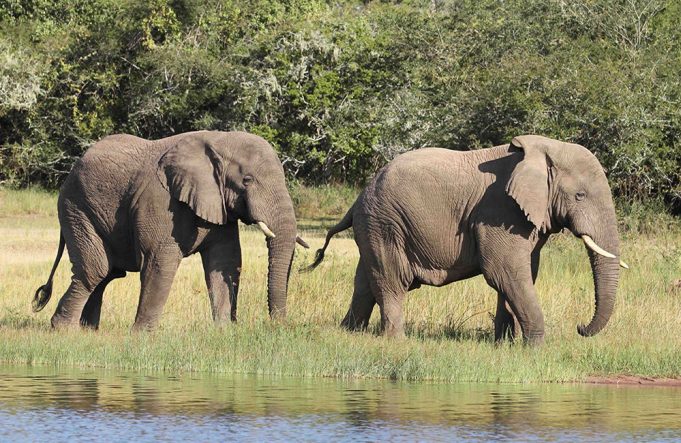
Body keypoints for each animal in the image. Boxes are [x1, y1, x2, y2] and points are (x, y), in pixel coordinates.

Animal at [33, 130, 308, 330]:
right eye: (247, 180)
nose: (278, 327)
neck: (218, 140)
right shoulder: (160, 201)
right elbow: (160, 261)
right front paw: (142, 336)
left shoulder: (218, 204)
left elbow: (225, 262)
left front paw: (224, 331)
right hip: (76, 207)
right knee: (95, 269)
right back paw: (63, 330)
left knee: (107, 273)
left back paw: (89, 330)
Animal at [306, 135, 628, 344]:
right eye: (580, 196)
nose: (580, 328)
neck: (542, 150)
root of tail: (358, 198)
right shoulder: (498, 211)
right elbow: (504, 271)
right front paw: (535, 348)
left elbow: (520, 275)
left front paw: (504, 346)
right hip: (385, 223)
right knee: (392, 281)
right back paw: (396, 341)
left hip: (374, 226)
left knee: (365, 282)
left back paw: (350, 333)